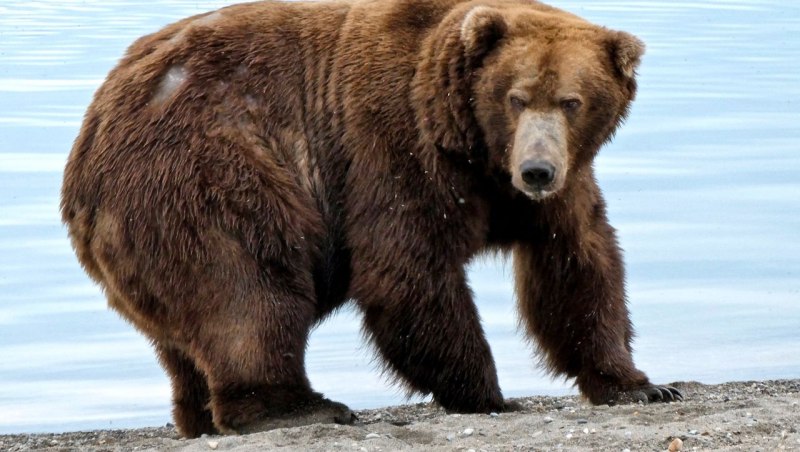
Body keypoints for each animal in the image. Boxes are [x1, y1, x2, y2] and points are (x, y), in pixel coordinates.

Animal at [61, 0, 681, 438]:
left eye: (572, 101)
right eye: (517, 97)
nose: (536, 170)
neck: (475, 152)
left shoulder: (560, 185)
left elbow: (578, 266)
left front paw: (638, 385)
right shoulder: (392, 144)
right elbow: (406, 269)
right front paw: (488, 394)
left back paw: (200, 416)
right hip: (207, 170)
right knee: (248, 287)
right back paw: (300, 407)